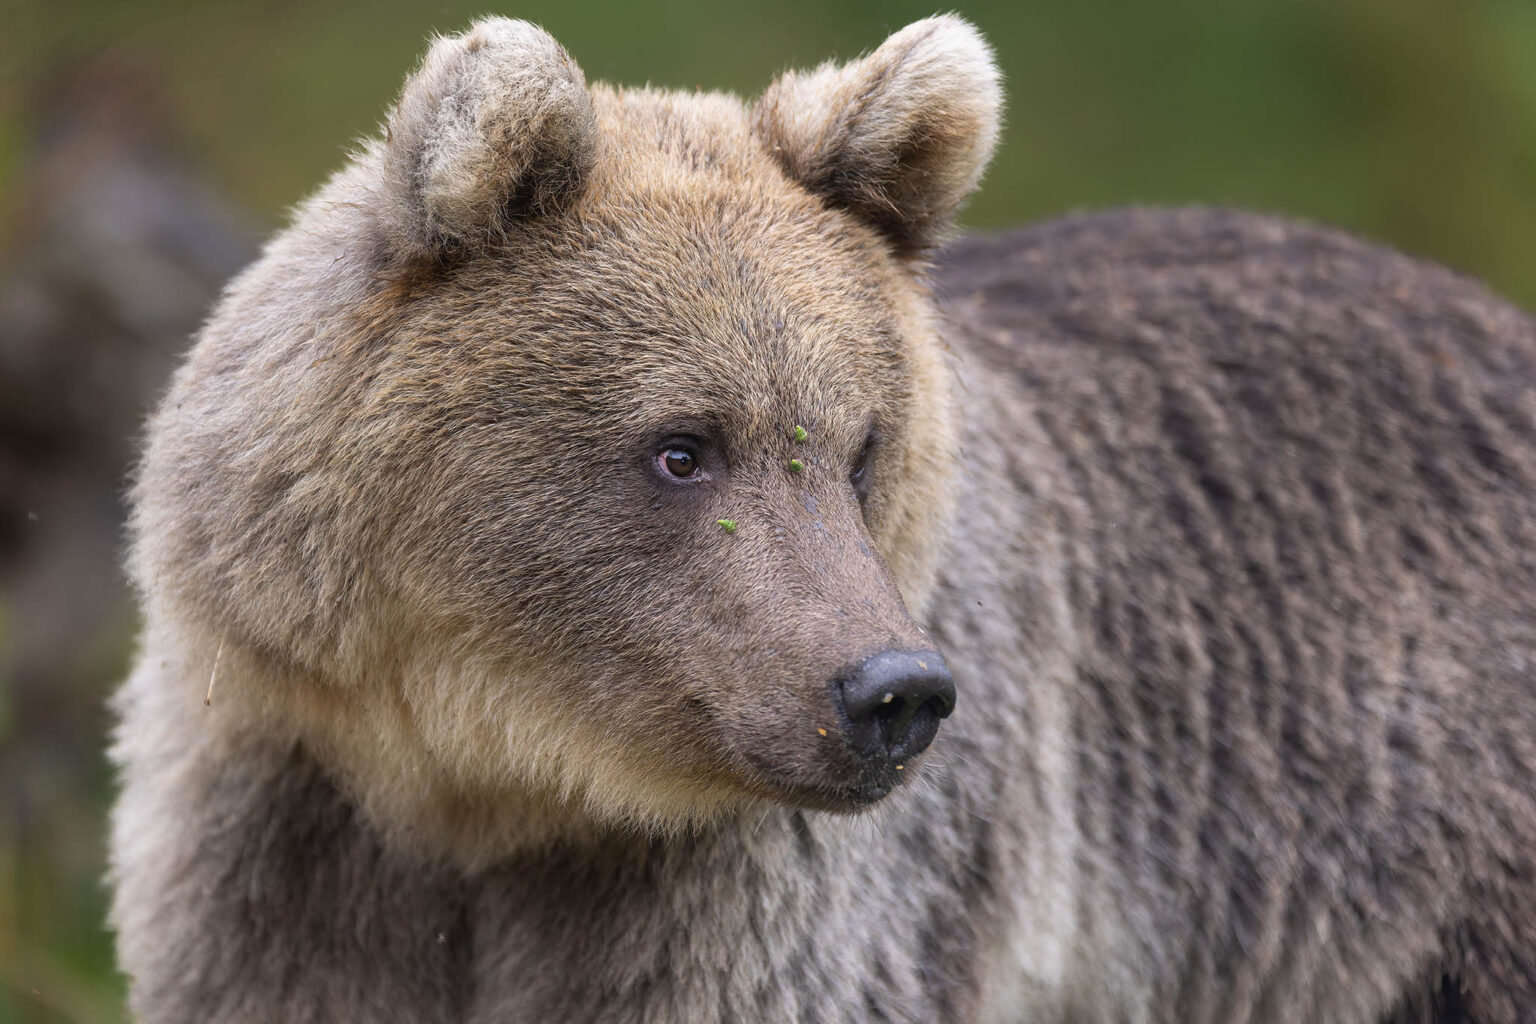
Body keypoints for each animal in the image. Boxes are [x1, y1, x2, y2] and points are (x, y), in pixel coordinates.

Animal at [109, 14, 1536, 1024]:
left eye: (858, 449)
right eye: (683, 447)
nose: (892, 690)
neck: (481, 783)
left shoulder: (760, 898)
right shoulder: (282, 823)